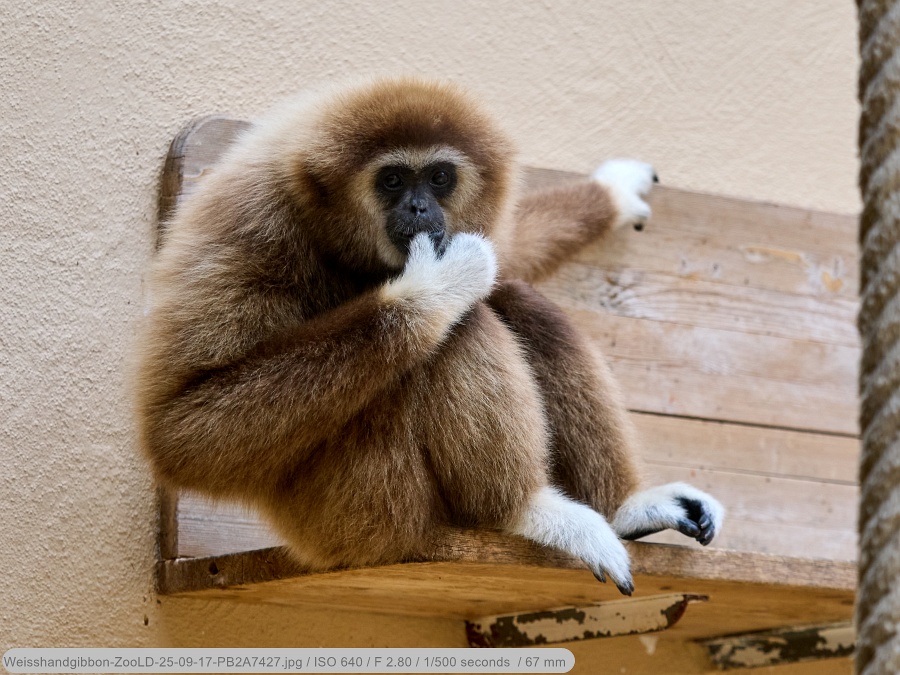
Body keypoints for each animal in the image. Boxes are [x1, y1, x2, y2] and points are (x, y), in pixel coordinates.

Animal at [135, 77, 723, 596]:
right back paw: (527, 513)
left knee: (515, 299)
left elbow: (508, 250)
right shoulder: (250, 226)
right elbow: (183, 431)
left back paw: (627, 507)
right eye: (393, 180)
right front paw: (433, 287)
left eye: (440, 177)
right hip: (367, 510)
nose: (420, 208)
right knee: (460, 326)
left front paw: (613, 190)